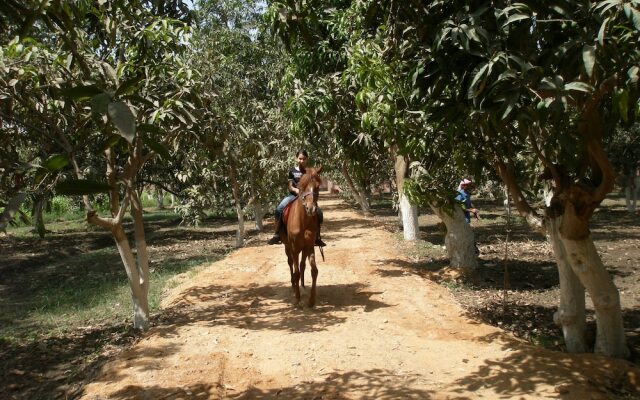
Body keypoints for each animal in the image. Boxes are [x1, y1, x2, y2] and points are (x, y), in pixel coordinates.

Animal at [278, 166, 322, 306]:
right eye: (301, 186)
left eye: (318, 186)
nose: (311, 209)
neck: (303, 221)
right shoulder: (295, 248)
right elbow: (296, 272)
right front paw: (297, 298)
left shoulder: (309, 246)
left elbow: (314, 271)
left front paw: (311, 300)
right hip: (288, 246)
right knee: (290, 263)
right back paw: (293, 286)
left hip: (304, 248)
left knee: (302, 265)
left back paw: (302, 286)